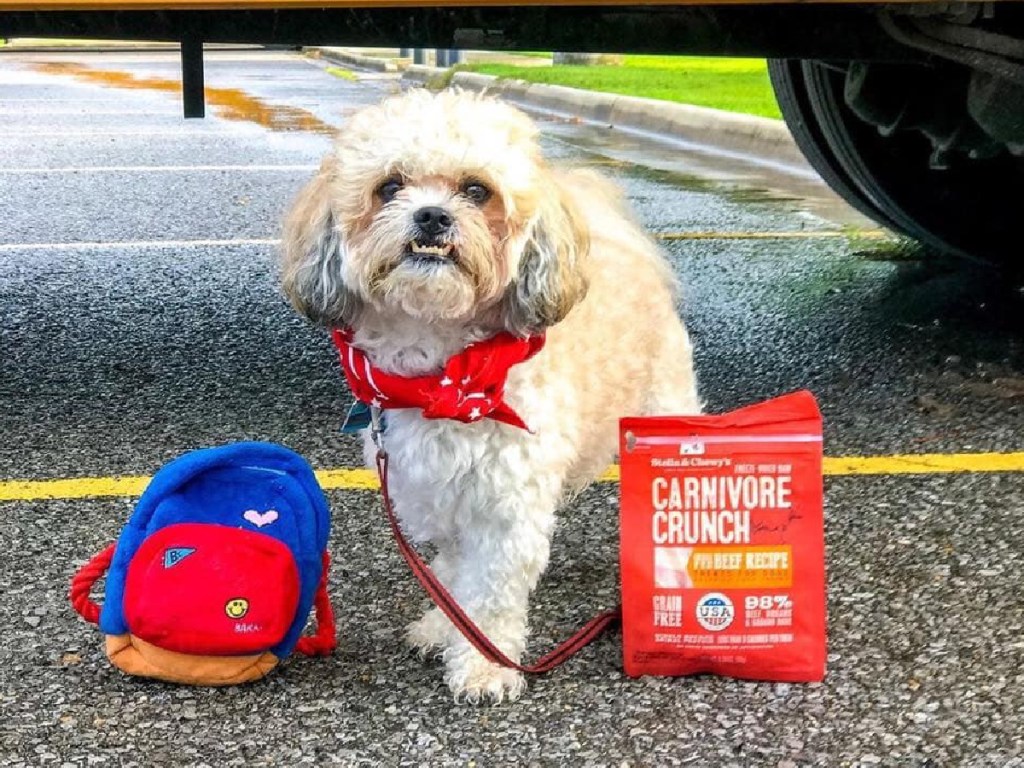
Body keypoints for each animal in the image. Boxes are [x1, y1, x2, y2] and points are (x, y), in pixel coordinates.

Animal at [280, 88, 700, 704]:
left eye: (477, 190)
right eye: (390, 185)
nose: (433, 215)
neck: (444, 379)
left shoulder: (507, 506)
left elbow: (491, 591)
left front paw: (483, 664)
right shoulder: (433, 494)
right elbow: (453, 575)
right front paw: (445, 627)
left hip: (663, 416)